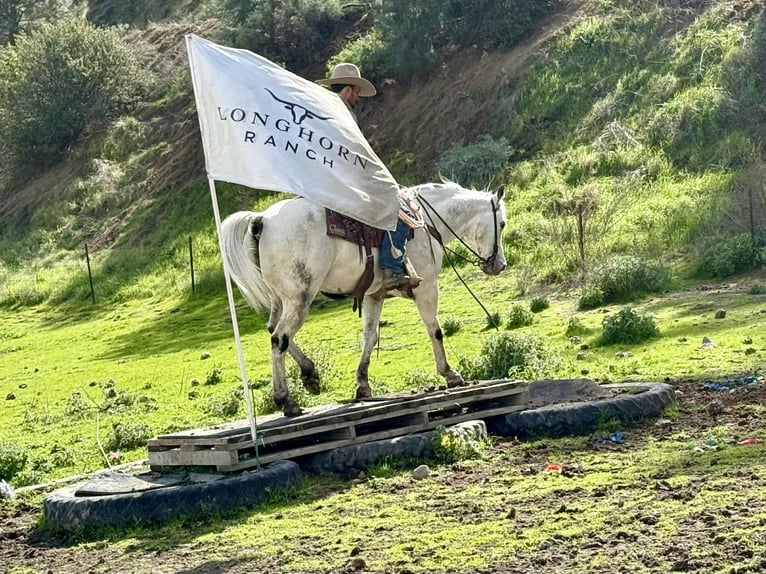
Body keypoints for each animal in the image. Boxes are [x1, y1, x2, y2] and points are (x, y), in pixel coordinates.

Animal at [220, 181, 507, 416]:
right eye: (502, 224)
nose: (499, 265)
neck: (426, 222)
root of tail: (262, 220)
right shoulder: (427, 287)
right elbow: (434, 330)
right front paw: (450, 374)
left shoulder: (374, 295)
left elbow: (370, 336)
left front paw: (362, 385)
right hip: (299, 298)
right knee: (279, 339)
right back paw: (286, 401)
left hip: (281, 299)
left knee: (275, 331)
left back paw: (311, 375)